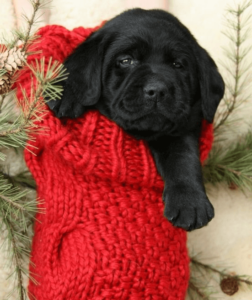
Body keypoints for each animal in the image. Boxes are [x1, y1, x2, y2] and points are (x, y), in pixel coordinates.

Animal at [47, 8, 224, 230]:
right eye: (126, 61)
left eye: (177, 65)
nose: (157, 90)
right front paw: (65, 90)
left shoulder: (182, 125)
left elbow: (183, 155)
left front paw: (190, 201)